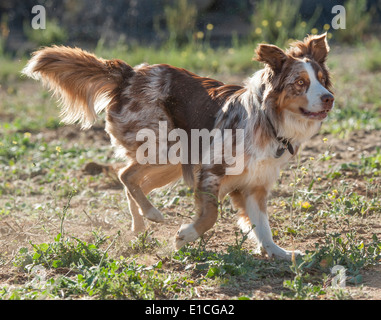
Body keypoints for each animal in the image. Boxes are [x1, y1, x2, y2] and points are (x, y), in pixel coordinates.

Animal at [22, 33, 334, 262]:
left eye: (322, 80)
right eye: (300, 83)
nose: (329, 98)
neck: (268, 119)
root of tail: (129, 74)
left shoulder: (254, 186)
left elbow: (263, 227)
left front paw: (278, 253)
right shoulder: (212, 168)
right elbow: (210, 215)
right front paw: (185, 236)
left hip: (174, 160)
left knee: (134, 182)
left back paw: (139, 225)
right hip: (166, 147)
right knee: (125, 175)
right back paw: (151, 215)